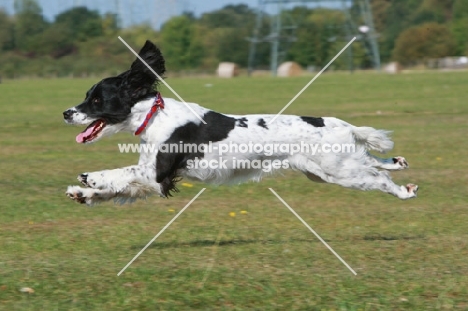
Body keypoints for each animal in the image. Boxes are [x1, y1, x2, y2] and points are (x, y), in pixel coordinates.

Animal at [62, 40, 416, 207]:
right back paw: (399, 163)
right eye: (87, 95)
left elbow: (120, 173)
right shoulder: (152, 178)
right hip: (327, 169)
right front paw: (83, 194)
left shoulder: (158, 173)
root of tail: (339, 124)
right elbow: (121, 186)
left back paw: (406, 191)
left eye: (97, 100)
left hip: (339, 170)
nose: (66, 113)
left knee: (379, 178)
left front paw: (90, 177)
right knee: (374, 161)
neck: (155, 116)